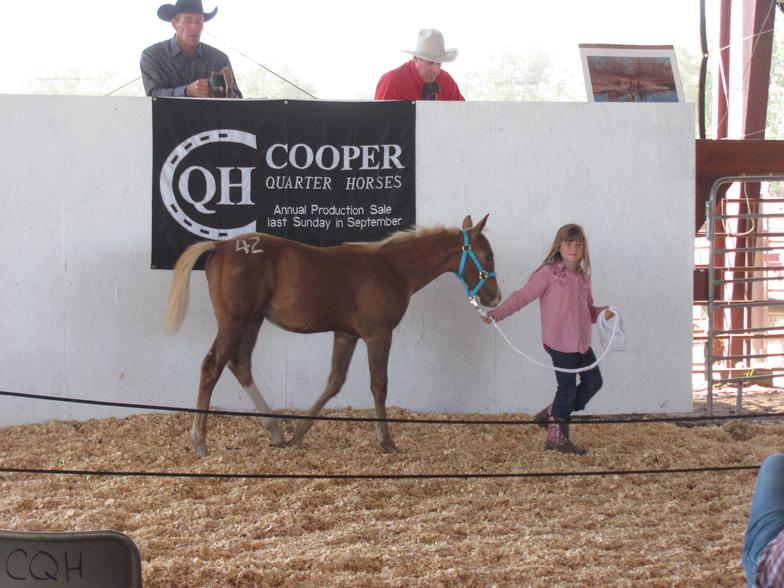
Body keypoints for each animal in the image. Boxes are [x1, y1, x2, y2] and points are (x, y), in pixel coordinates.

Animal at [165, 214, 500, 456]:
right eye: (486, 256)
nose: (494, 297)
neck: (392, 268)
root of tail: (221, 246)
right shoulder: (378, 334)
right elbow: (379, 385)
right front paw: (387, 442)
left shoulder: (346, 334)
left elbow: (334, 382)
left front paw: (298, 436)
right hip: (235, 321)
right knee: (212, 366)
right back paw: (200, 441)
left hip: (253, 321)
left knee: (240, 364)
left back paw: (275, 431)